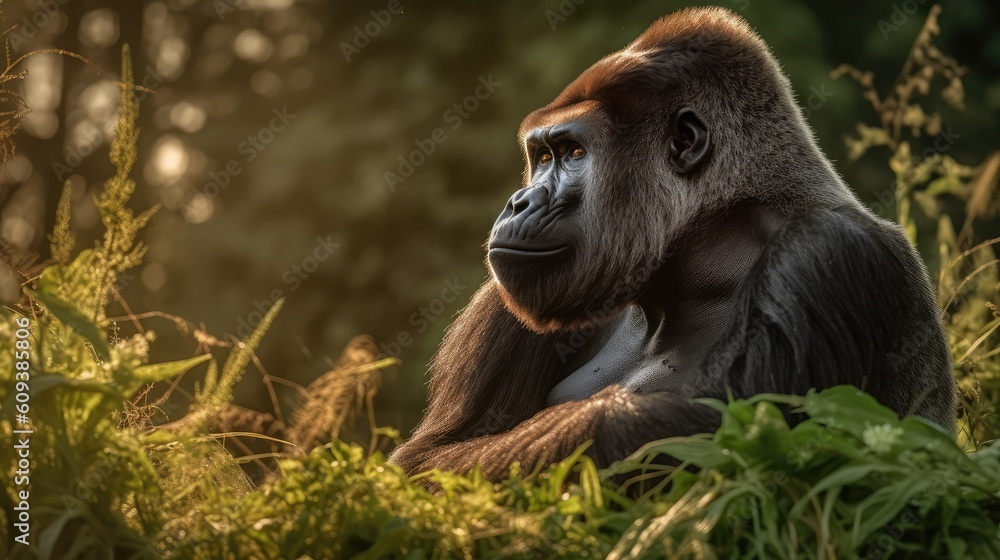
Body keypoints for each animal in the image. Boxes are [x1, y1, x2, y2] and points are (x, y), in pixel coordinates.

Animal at [389, 7, 956, 481]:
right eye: (542, 156)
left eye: (573, 153)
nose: (519, 203)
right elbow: (429, 457)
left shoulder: (827, 250)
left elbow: (744, 437)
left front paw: (612, 423)